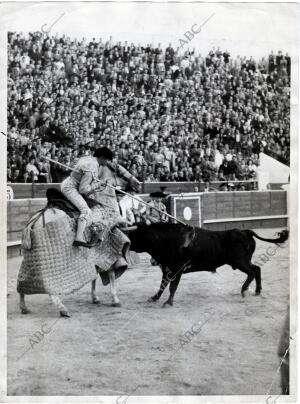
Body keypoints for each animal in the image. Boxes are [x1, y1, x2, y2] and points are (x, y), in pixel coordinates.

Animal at [127, 224, 290, 306]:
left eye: (136, 235)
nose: (127, 242)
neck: (167, 239)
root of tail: (245, 231)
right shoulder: (167, 269)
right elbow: (162, 285)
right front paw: (154, 298)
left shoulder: (177, 269)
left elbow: (172, 286)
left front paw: (168, 302)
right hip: (243, 261)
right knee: (257, 269)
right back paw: (257, 291)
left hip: (240, 262)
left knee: (252, 271)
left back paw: (244, 290)